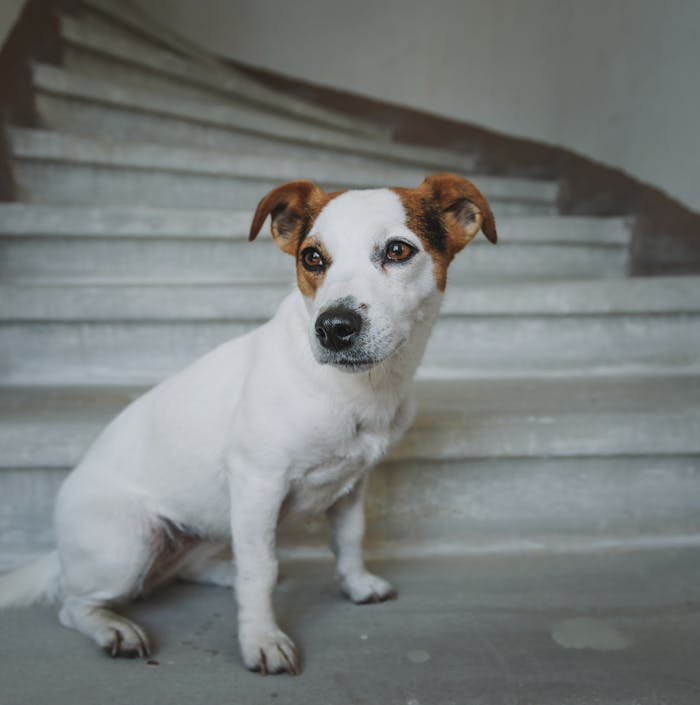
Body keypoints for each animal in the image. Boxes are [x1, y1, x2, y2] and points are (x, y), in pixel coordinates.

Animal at [0, 173, 494, 672]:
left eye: (397, 250)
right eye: (312, 257)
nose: (333, 328)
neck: (357, 389)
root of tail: (61, 553)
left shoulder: (354, 485)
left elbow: (350, 539)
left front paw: (356, 585)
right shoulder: (259, 483)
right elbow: (261, 571)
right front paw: (261, 638)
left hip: (202, 528)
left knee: (178, 571)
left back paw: (222, 571)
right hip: (127, 546)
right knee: (74, 604)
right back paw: (112, 628)